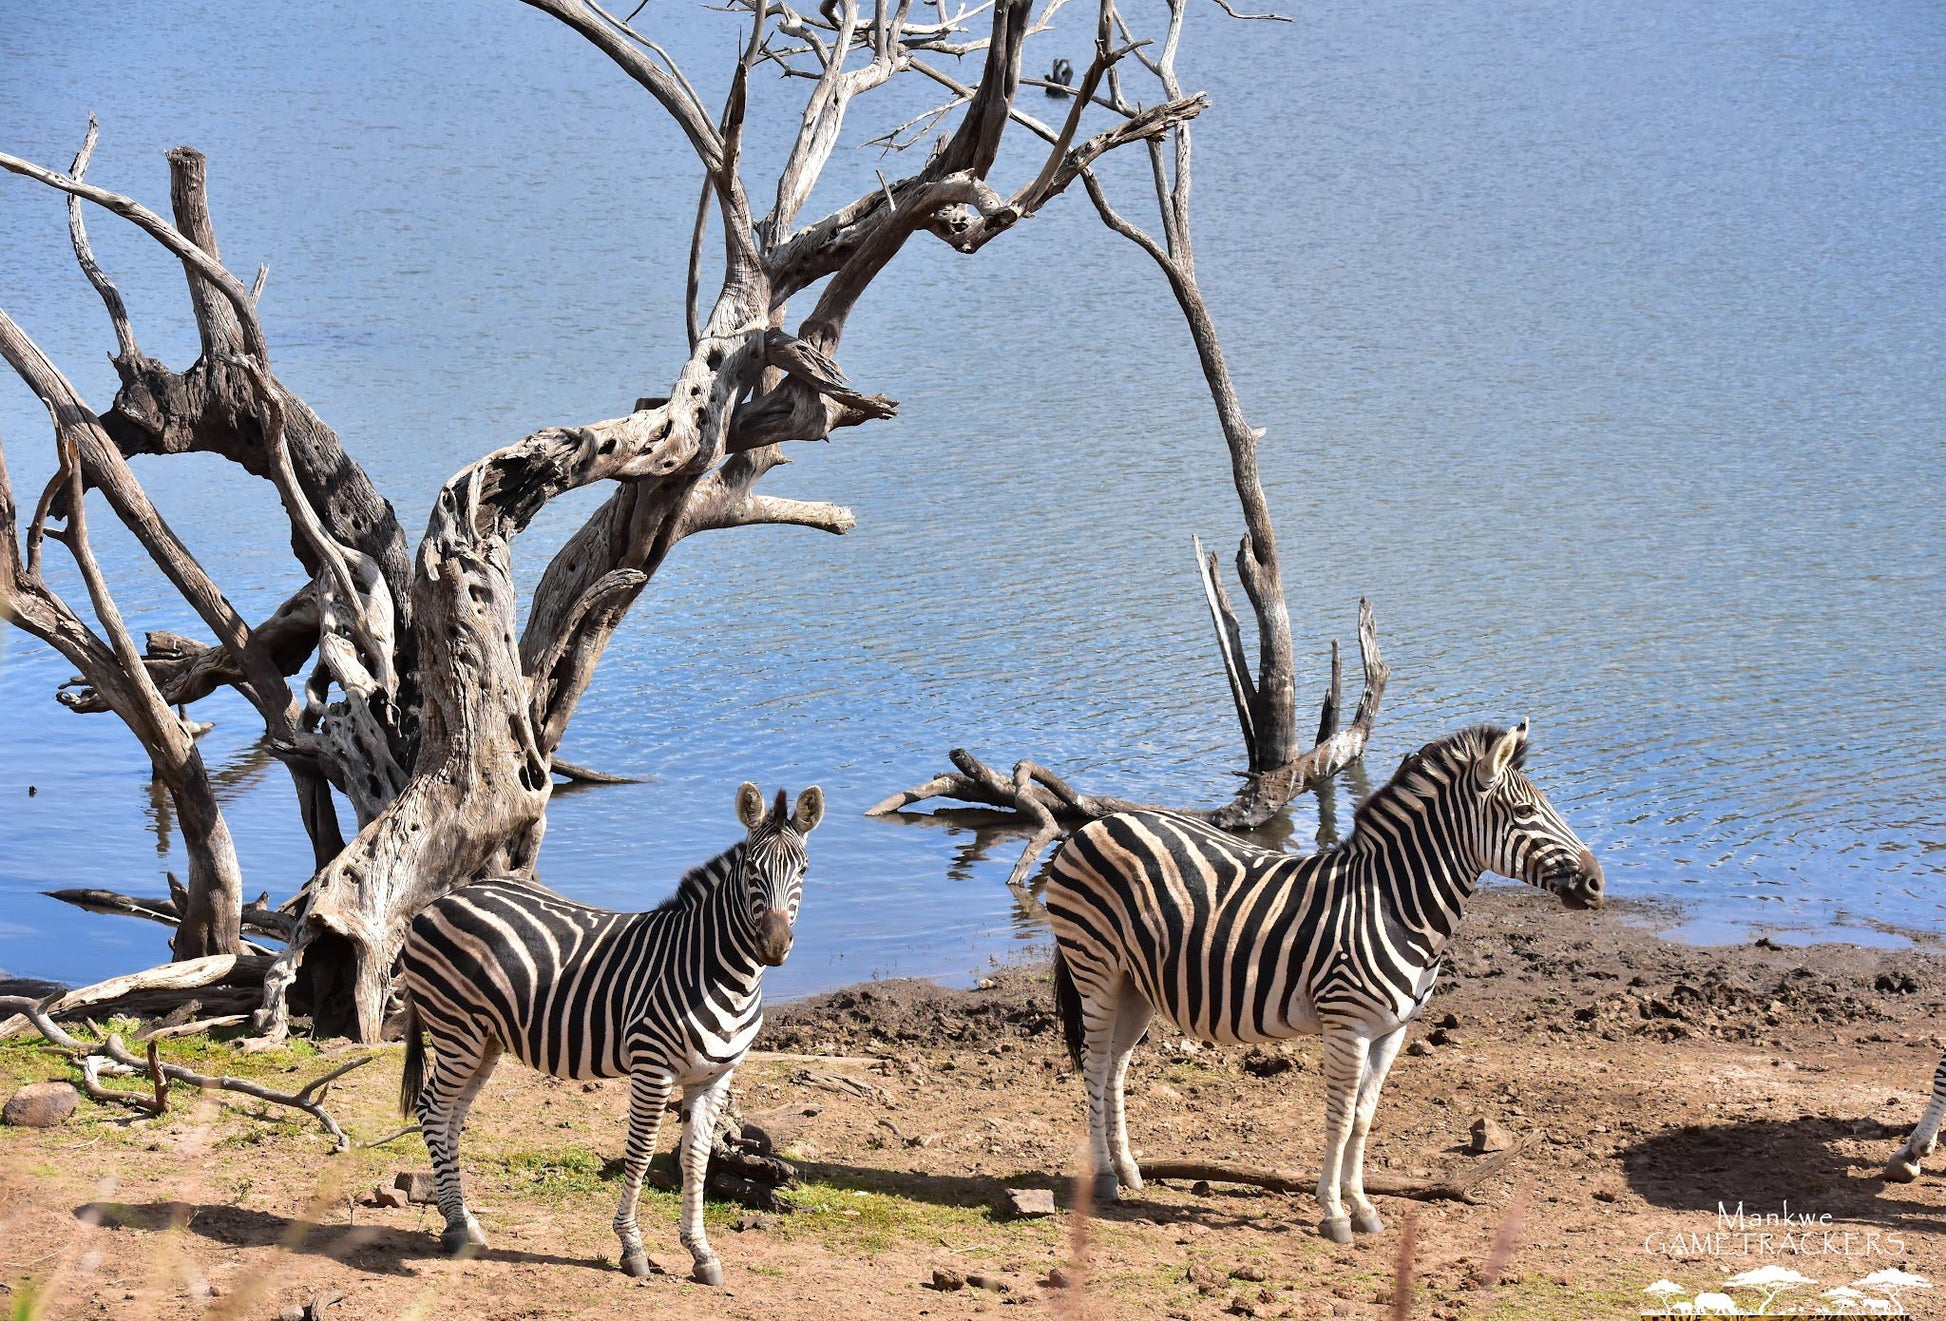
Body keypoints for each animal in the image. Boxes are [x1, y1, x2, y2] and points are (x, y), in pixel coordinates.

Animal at [395, 782, 821, 1284]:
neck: (719, 971)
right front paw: (631, 1247)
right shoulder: (652, 1068)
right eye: (752, 869)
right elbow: (640, 1153)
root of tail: (438, 902)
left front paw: (701, 1252)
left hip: (485, 1040)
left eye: (804, 869)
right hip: (455, 1030)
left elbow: (696, 1159)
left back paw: (462, 1221)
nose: (773, 946)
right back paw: (458, 1228)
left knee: (451, 1118)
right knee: (432, 1110)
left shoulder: (714, 1077)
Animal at [1043, 719, 1603, 1245]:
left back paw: (1128, 1171)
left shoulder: (1391, 1031)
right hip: (1096, 969)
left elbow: (1363, 1117)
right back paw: (1104, 1179)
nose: (1597, 883)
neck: (1395, 905)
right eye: (1524, 813)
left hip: (1135, 985)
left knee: (1115, 1067)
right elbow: (1338, 1116)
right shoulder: (1346, 1025)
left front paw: (1363, 1207)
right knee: (1095, 1065)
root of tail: (1099, 823)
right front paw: (1334, 1213)